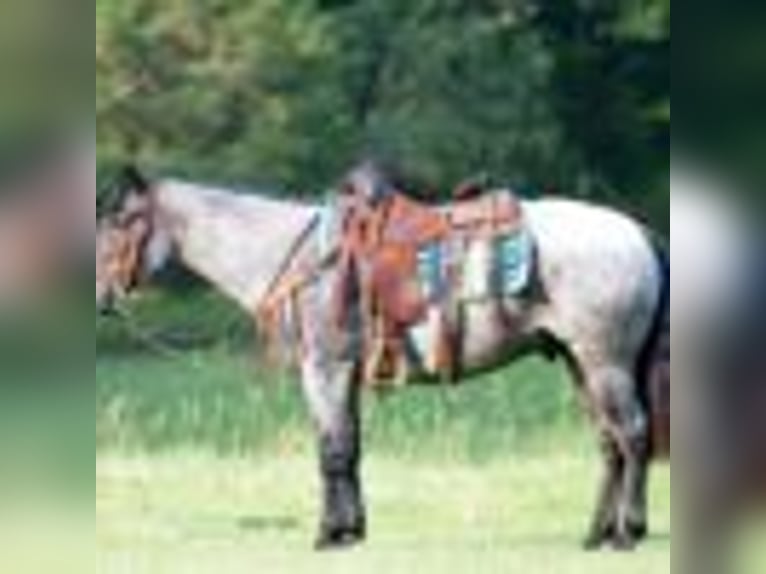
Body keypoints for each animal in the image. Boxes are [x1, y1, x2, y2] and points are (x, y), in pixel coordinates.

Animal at [96, 165, 668, 551]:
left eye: (123, 219)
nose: (101, 295)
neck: (305, 259)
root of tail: (637, 232)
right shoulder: (344, 373)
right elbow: (350, 447)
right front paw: (352, 530)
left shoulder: (324, 369)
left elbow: (330, 450)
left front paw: (328, 534)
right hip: (580, 363)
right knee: (610, 444)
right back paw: (595, 534)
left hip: (605, 363)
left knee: (633, 435)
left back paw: (628, 533)